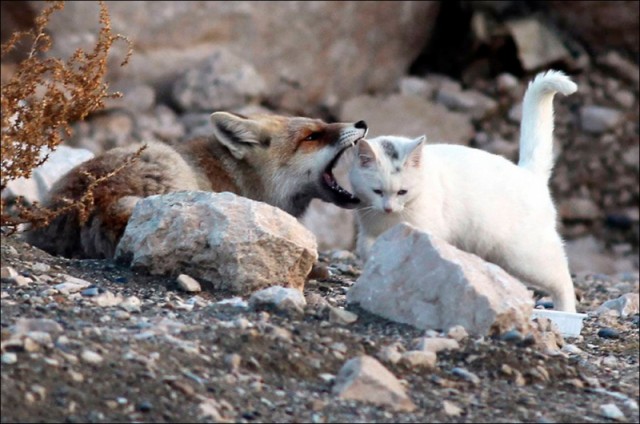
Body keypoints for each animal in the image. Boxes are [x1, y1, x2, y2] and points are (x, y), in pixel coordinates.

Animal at [350, 70, 580, 312]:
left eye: (402, 191)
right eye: (377, 191)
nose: (388, 208)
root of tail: (529, 174)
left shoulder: (426, 229)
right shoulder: (368, 231)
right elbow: (368, 248)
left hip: (525, 256)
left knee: (562, 277)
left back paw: (566, 311)